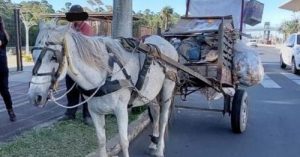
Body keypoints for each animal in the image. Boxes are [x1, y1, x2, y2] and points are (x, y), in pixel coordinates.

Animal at [27, 21, 177, 157]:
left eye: (53, 57)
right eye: (33, 56)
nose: (34, 97)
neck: (105, 75)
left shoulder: (121, 110)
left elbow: (124, 142)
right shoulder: (95, 111)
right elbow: (101, 141)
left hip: (168, 88)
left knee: (163, 118)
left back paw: (159, 150)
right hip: (150, 93)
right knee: (155, 112)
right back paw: (153, 144)